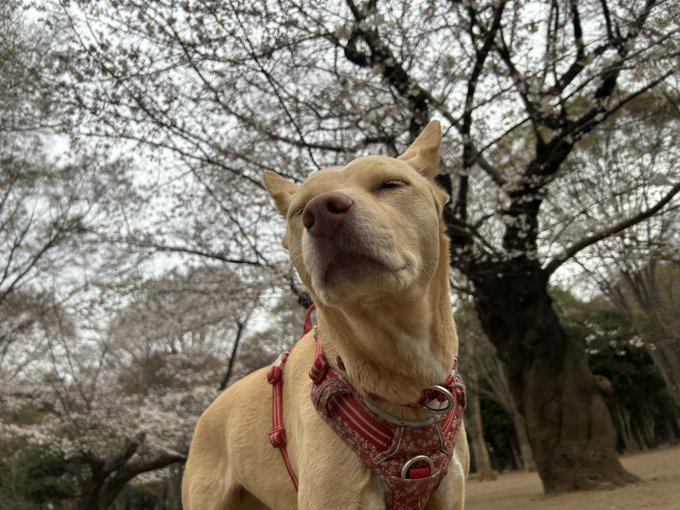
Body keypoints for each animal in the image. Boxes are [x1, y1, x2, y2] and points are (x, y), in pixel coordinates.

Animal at [182, 120, 469, 510]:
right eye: (299, 209)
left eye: (391, 184)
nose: (319, 212)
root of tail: (207, 413)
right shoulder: (334, 495)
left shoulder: (450, 493)